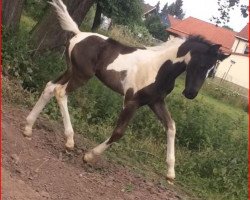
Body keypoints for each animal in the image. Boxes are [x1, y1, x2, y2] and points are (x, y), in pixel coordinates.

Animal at [24, 0, 229, 182]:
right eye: (201, 65)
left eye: (211, 71)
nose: (190, 93)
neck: (159, 68)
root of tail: (78, 33)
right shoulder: (132, 101)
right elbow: (119, 132)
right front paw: (90, 156)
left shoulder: (155, 102)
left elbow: (171, 126)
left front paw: (170, 173)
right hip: (81, 75)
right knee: (60, 92)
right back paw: (69, 141)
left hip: (71, 70)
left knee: (50, 87)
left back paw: (28, 127)